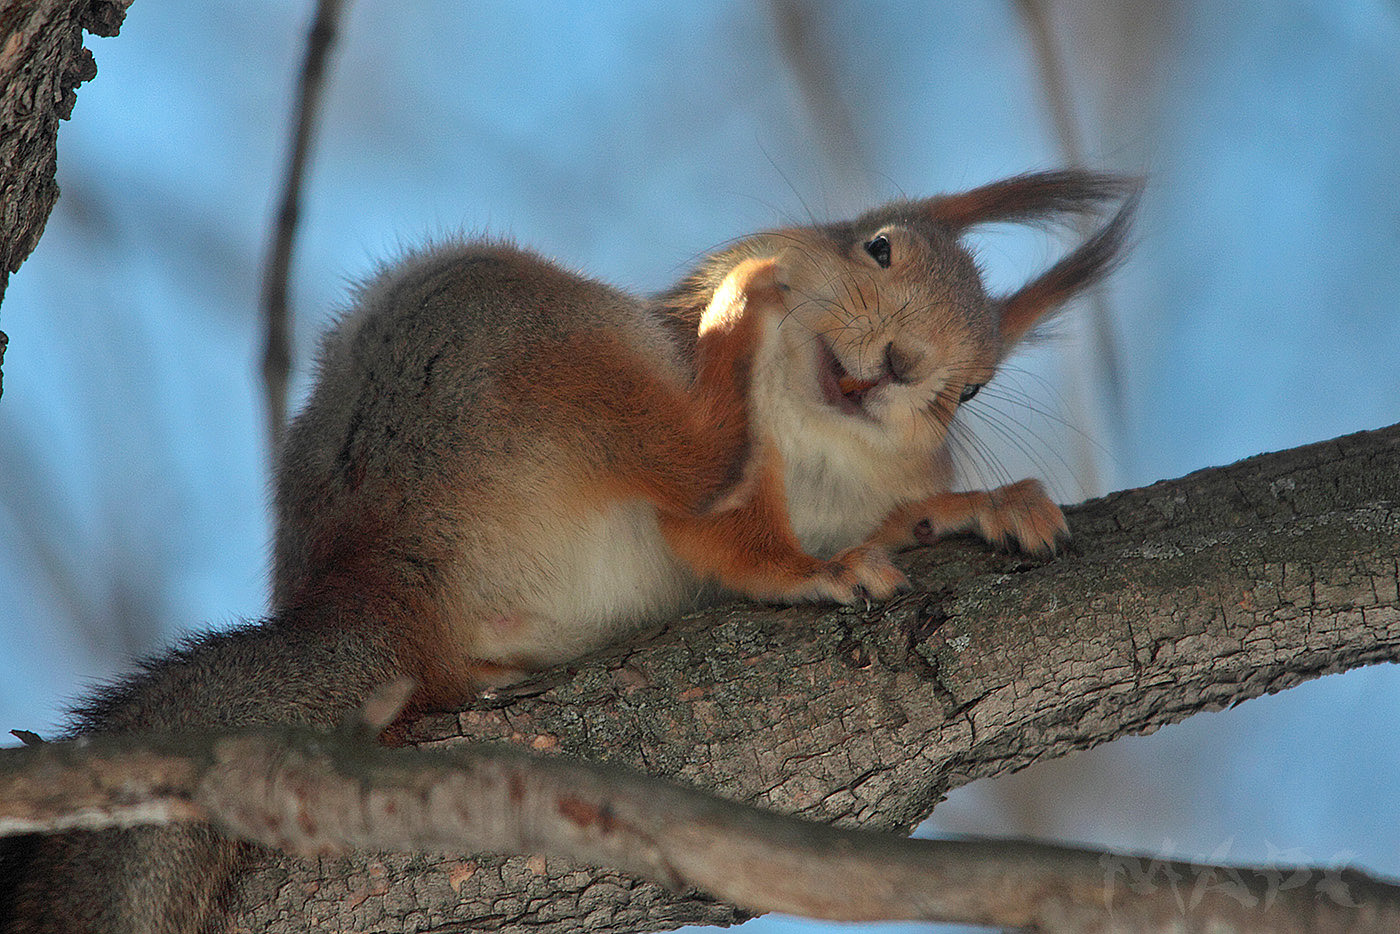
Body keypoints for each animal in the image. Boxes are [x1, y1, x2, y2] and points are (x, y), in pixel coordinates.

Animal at [0, 170, 1136, 934]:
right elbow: (731, 539)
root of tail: (375, 591)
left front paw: (980, 504)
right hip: (518, 348)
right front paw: (823, 561)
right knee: (692, 458)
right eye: (879, 248)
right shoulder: (731, 490)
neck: (817, 446)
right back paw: (742, 311)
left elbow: (883, 517)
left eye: (973, 389)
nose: (906, 363)